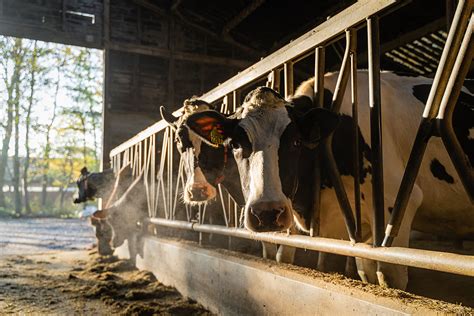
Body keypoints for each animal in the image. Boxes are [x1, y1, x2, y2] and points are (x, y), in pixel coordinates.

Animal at [183, 71, 472, 288]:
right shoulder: (357, 231)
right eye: (235, 143)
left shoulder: (395, 206)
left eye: (296, 142)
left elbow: (388, 278)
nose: (266, 213)